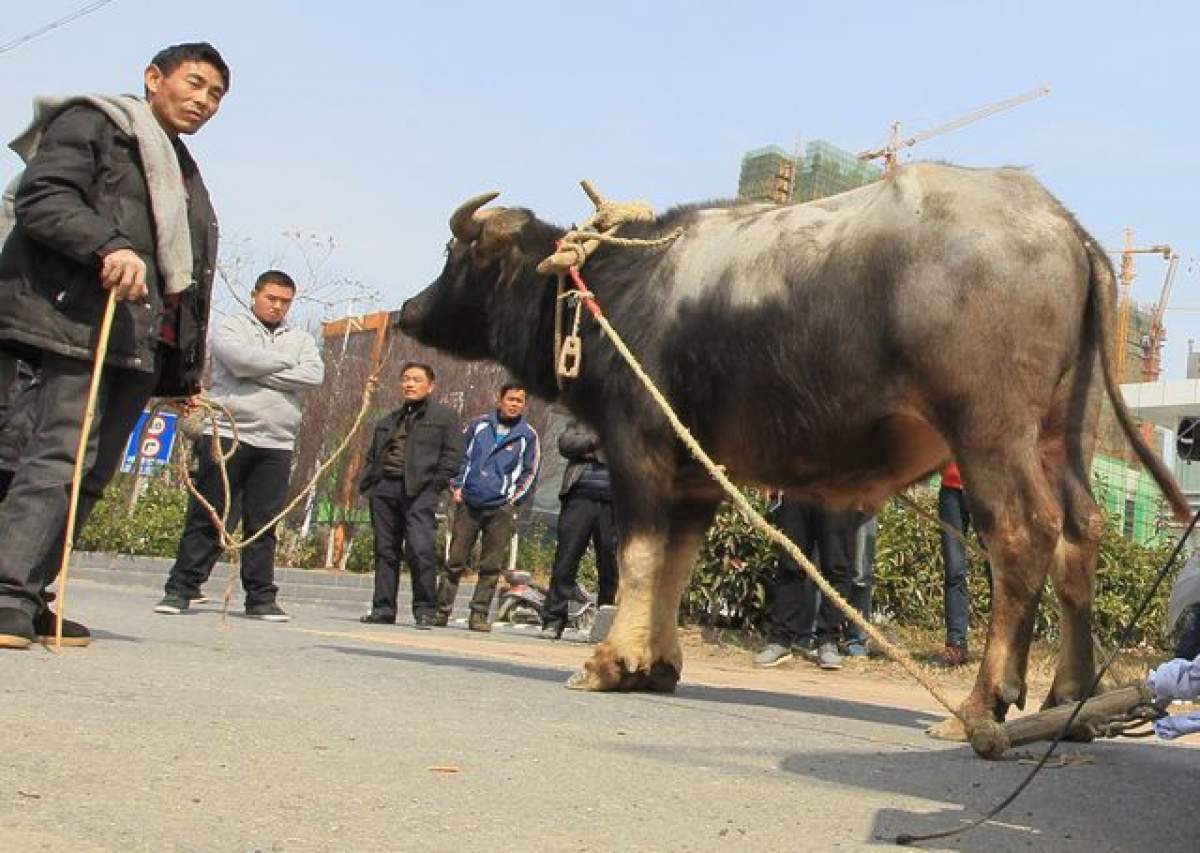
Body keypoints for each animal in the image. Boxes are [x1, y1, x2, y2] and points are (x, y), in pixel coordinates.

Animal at [396, 165, 1190, 739]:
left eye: (455, 255)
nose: (407, 311)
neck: (617, 294)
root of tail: (1060, 223)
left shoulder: (639, 447)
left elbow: (641, 557)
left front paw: (609, 662)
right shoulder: (697, 473)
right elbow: (676, 565)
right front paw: (659, 663)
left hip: (990, 430)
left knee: (1023, 534)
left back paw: (980, 705)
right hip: (1066, 429)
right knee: (1081, 533)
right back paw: (1070, 700)